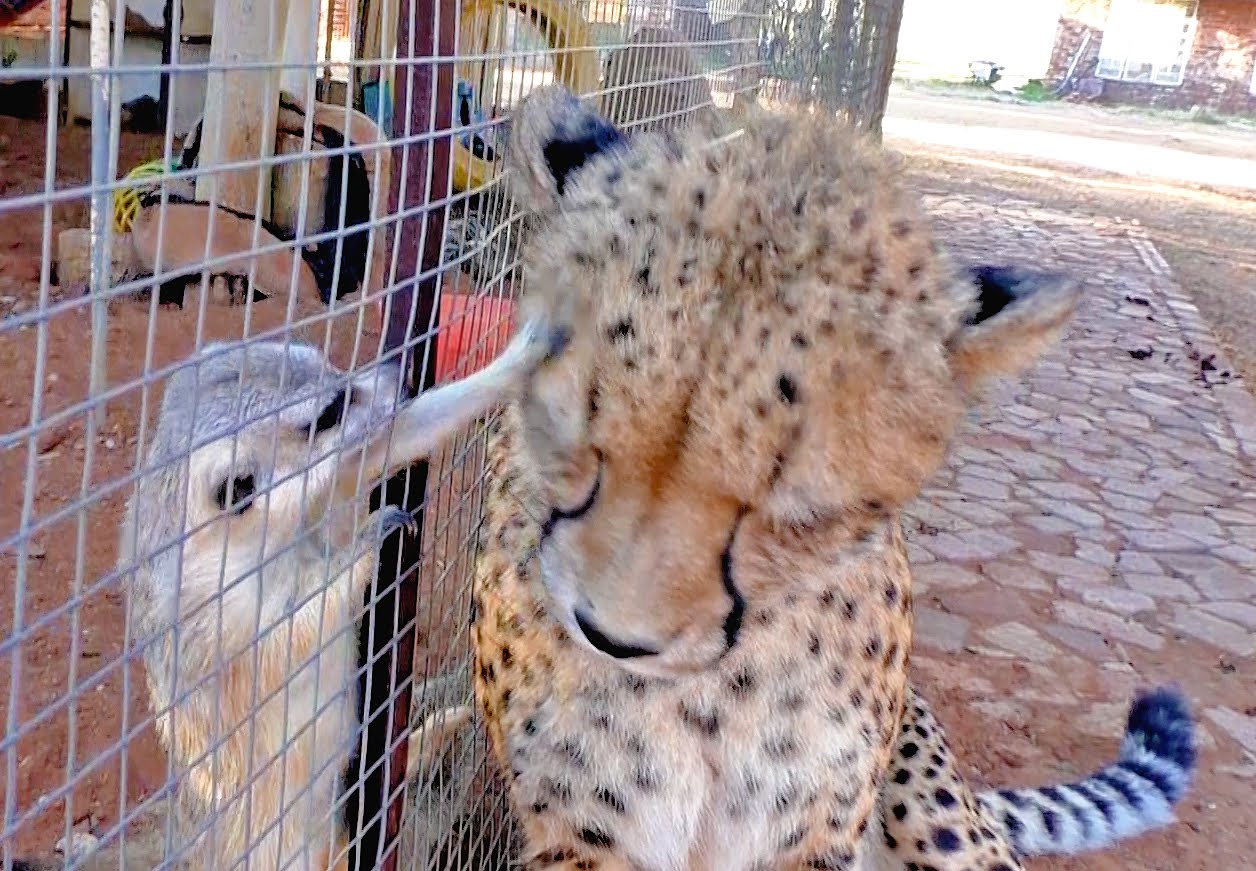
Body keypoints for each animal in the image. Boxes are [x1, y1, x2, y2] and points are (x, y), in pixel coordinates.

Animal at [467, 86, 1190, 869]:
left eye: (796, 513)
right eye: (572, 435)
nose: (613, 637)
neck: (708, 695)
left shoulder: (815, 834)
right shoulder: (580, 838)